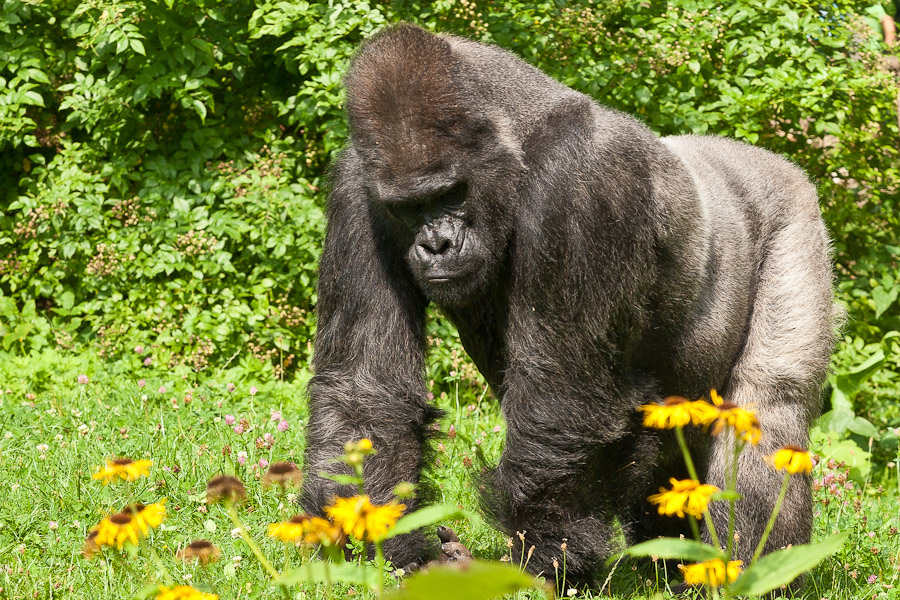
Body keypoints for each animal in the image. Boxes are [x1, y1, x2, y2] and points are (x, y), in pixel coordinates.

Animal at [298, 23, 832, 584]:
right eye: (407, 207)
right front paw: (389, 549)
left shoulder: (581, 181)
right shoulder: (357, 189)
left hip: (792, 213)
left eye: (451, 193)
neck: (514, 136)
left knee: (768, 406)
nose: (437, 244)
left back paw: (752, 573)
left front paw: (541, 560)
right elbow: (366, 388)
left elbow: (562, 399)